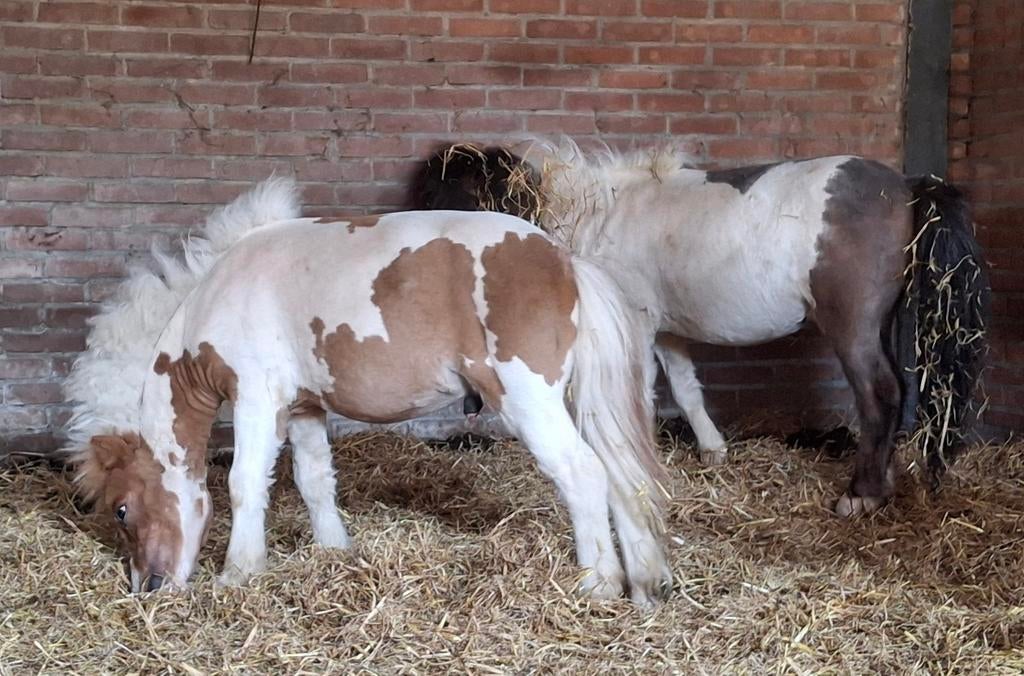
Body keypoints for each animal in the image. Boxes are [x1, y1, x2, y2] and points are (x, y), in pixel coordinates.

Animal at [69, 177, 673, 606]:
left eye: (120, 510)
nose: (148, 587)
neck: (218, 295)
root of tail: (565, 262)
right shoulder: (303, 408)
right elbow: (315, 483)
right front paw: (336, 551)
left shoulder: (256, 399)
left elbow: (244, 483)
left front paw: (238, 573)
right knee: (622, 479)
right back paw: (644, 586)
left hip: (530, 401)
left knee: (585, 475)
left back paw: (598, 584)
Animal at [412, 141, 989, 518]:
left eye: (449, 200)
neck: (596, 217)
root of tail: (907, 187)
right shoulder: (665, 331)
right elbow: (686, 391)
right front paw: (713, 451)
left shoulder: (634, 326)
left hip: (852, 329)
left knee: (879, 396)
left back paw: (862, 493)